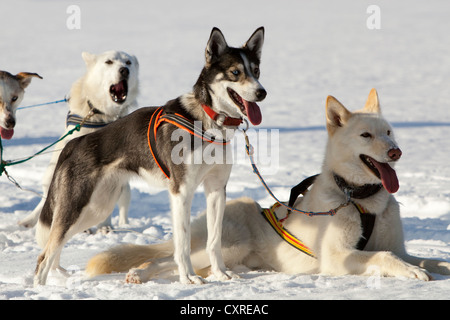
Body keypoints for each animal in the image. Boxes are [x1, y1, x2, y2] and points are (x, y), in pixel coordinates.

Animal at [36, 25, 268, 284]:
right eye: (235, 72)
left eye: (256, 70)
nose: (262, 92)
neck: (207, 120)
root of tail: (75, 143)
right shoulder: (181, 192)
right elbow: (183, 243)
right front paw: (188, 278)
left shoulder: (216, 190)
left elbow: (214, 240)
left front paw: (220, 273)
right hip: (77, 209)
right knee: (44, 256)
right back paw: (39, 288)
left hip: (96, 209)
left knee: (53, 250)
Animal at [87, 89, 450, 282]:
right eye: (366, 135)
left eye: (388, 132)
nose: (396, 151)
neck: (359, 199)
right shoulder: (338, 258)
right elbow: (384, 256)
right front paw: (411, 272)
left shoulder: (400, 247)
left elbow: (421, 258)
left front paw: (433, 267)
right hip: (223, 246)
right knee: (171, 258)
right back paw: (140, 273)